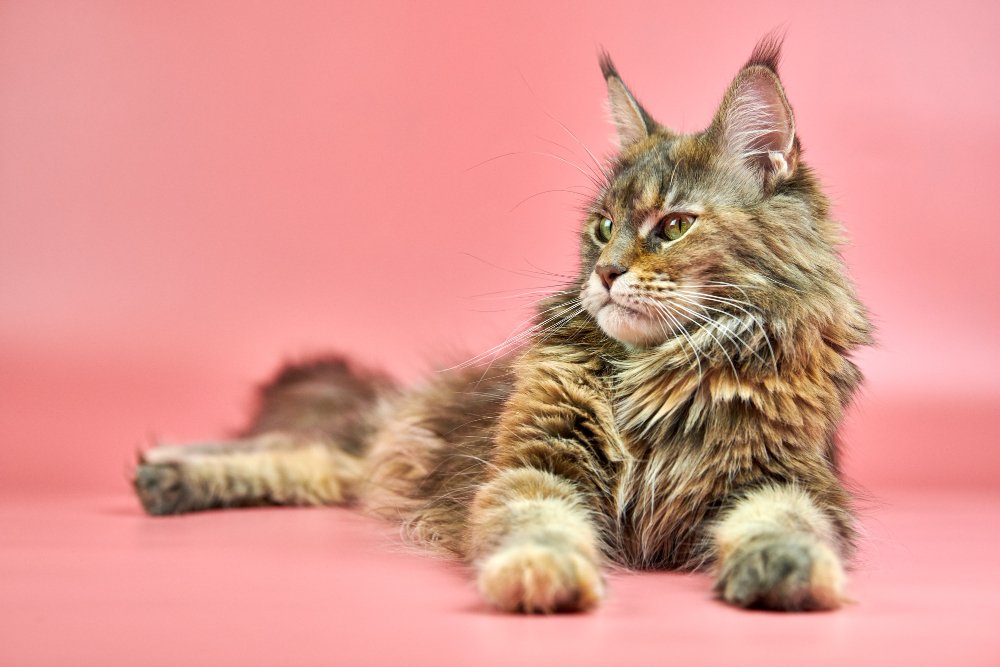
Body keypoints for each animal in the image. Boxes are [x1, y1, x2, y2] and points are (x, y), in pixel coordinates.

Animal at [135, 39, 876, 616]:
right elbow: (539, 523)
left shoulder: (783, 476)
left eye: (672, 227)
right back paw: (162, 469)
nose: (605, 273)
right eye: (602, 227)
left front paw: (787, 571)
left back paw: (167, 476)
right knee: (308, 444)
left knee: (322, 461)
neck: (659, 376)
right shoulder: (536, 461)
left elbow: (784, 523)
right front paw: (542, 576)